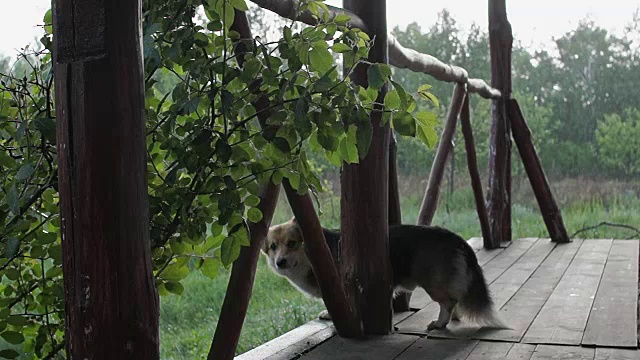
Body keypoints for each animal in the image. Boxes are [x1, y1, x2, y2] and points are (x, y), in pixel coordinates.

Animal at [262, 218, 508, 330]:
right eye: (273, 246)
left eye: (292, 243)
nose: (280, 262)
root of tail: (456, 238)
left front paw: (330, 315)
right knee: (454, 300)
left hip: (432, 284)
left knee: (447, 302)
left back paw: (440, 323)